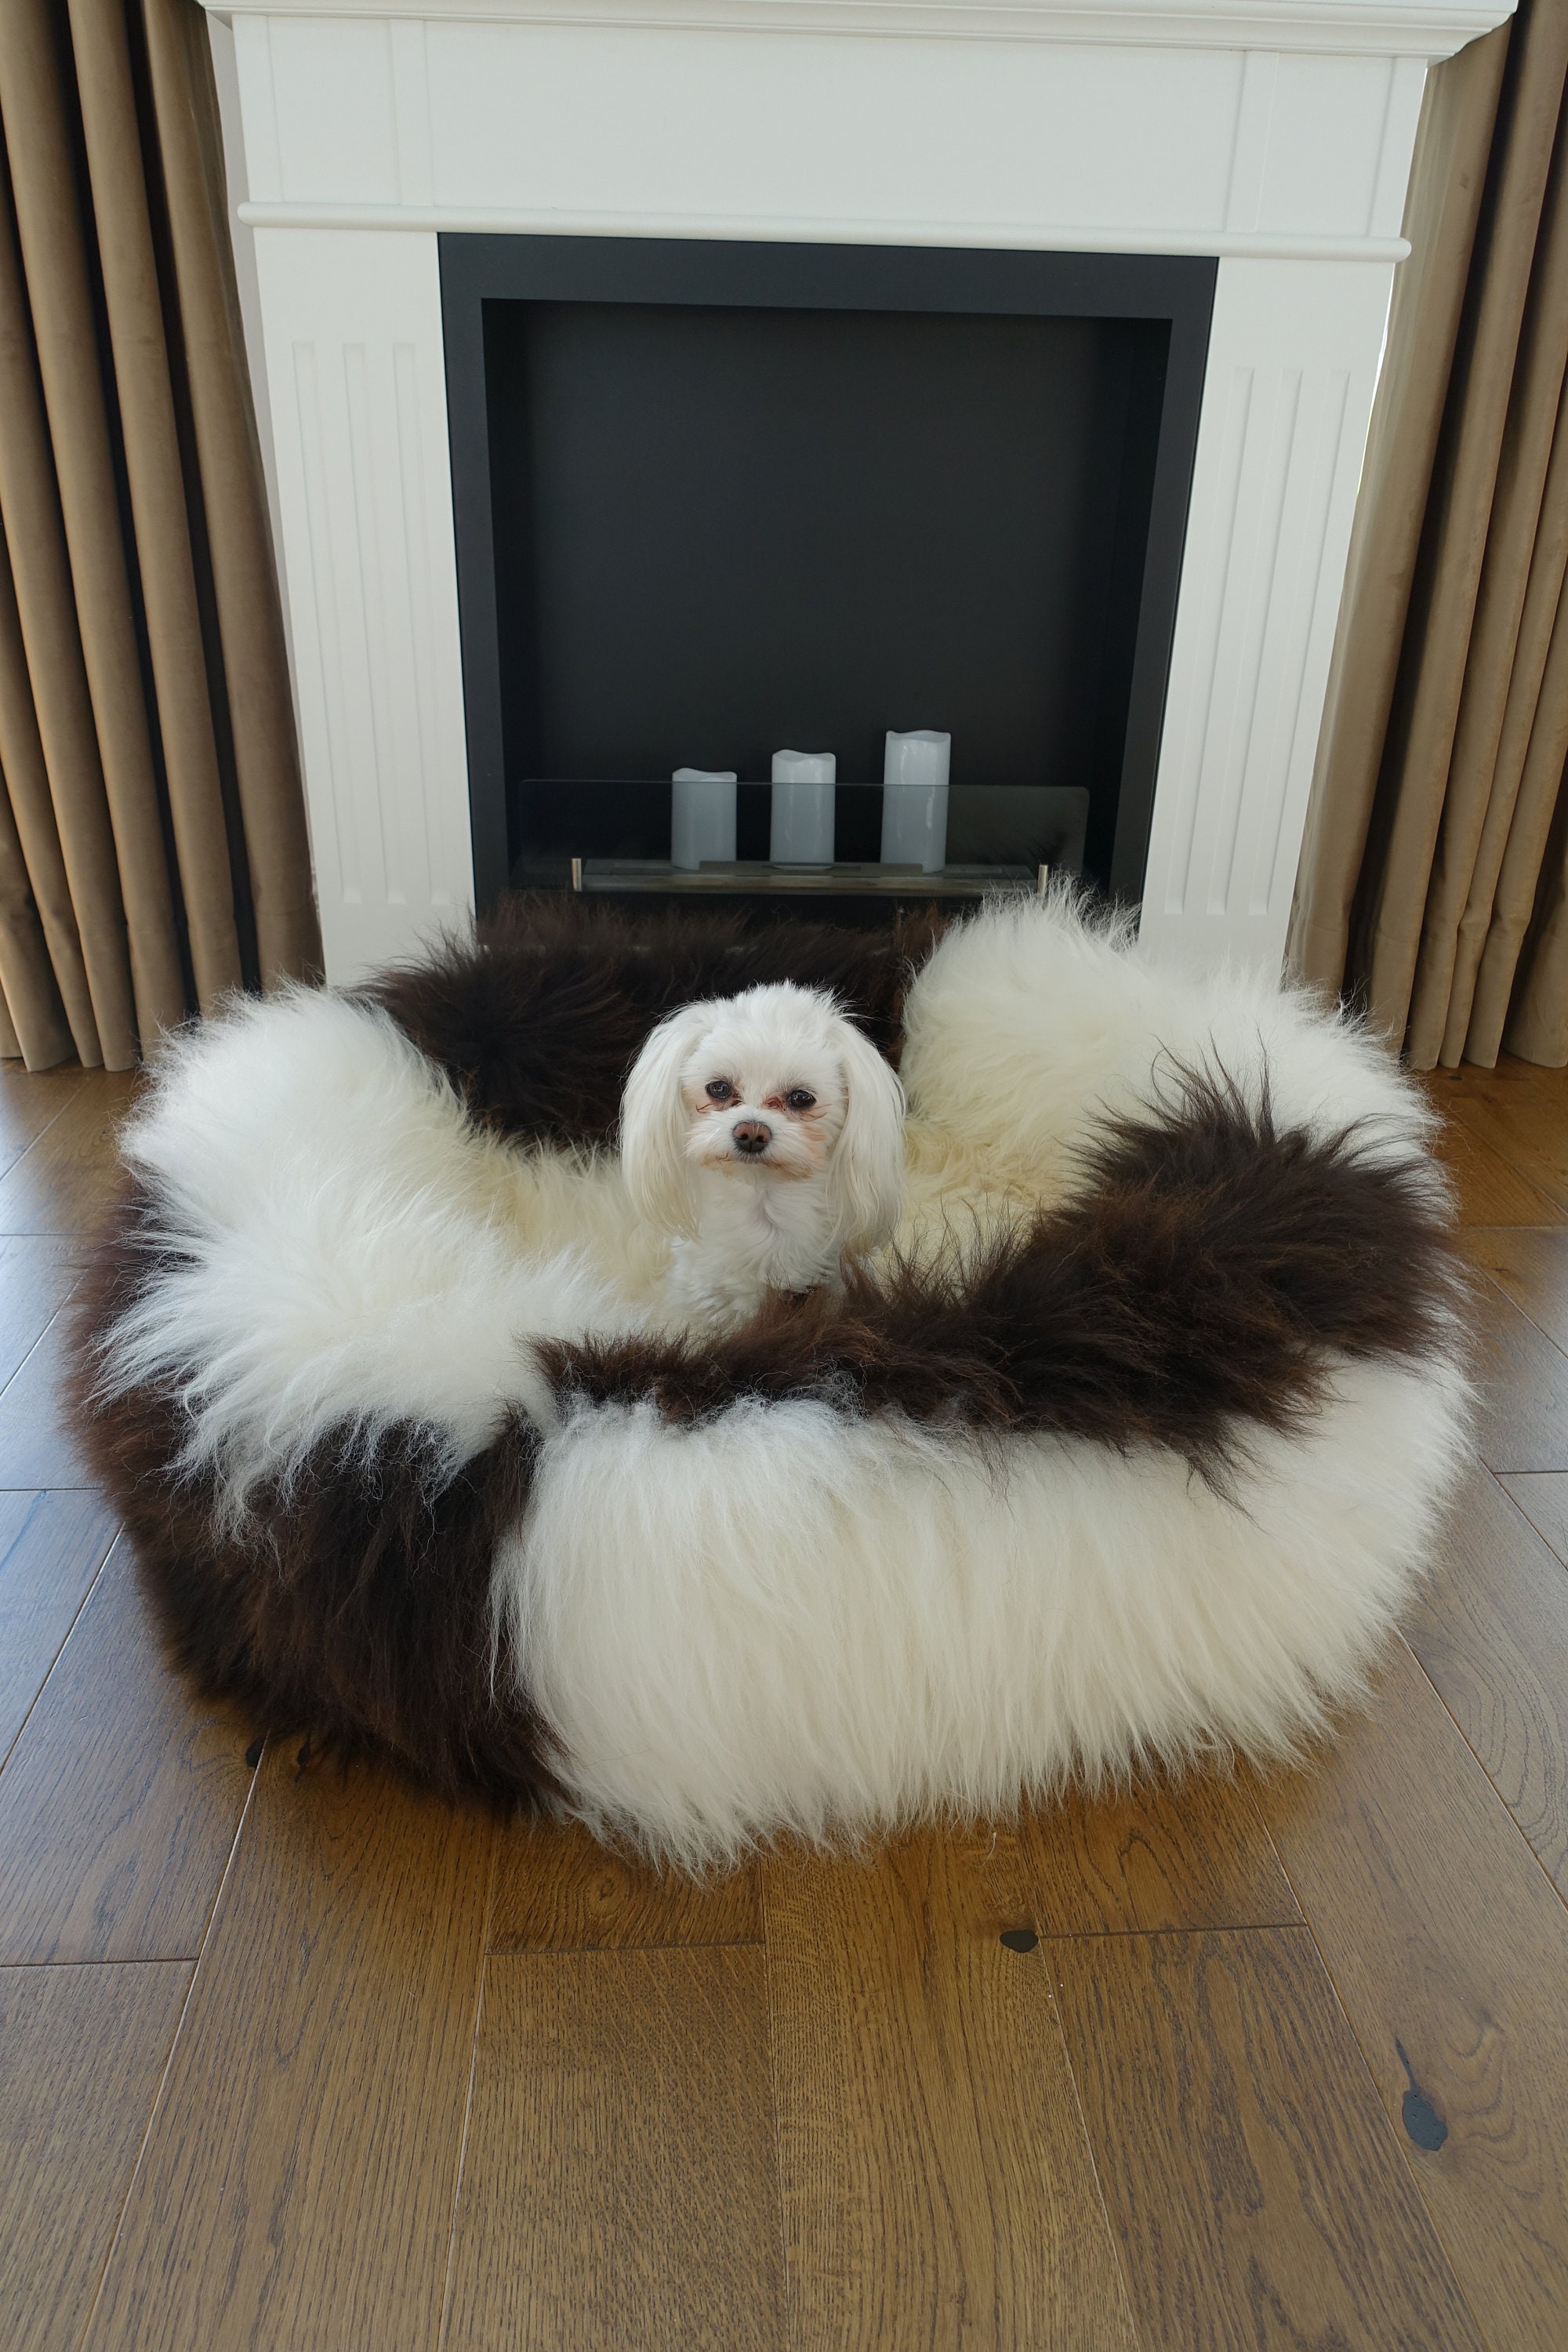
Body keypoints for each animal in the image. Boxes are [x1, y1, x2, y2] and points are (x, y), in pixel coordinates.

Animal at [619, 980, 907, 1328]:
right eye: (718, 1088)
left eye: (801, 1098)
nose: (752, 1133)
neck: (764, 1204)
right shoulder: (705, 1298)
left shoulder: (830, 1288)